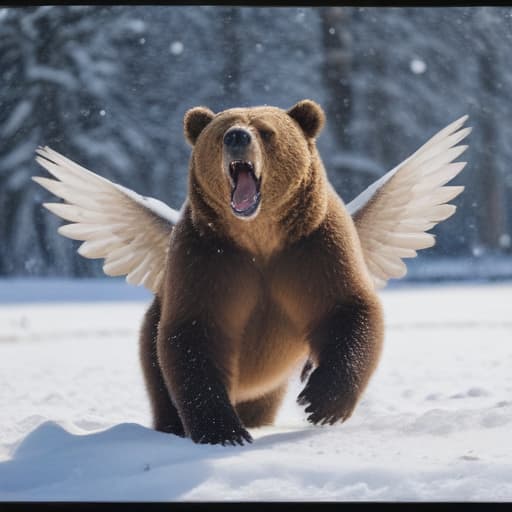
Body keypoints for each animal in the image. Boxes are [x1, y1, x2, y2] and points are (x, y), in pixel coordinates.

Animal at [138, 100, 382, 444]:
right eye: (221, 132)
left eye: (266, 131)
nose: (237, 137)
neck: (259, 236)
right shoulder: (207, 258)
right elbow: (195, 330)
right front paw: (223, 431)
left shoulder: (315, 249)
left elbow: (347, 306)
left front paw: (321, 402)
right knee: (161, 383)